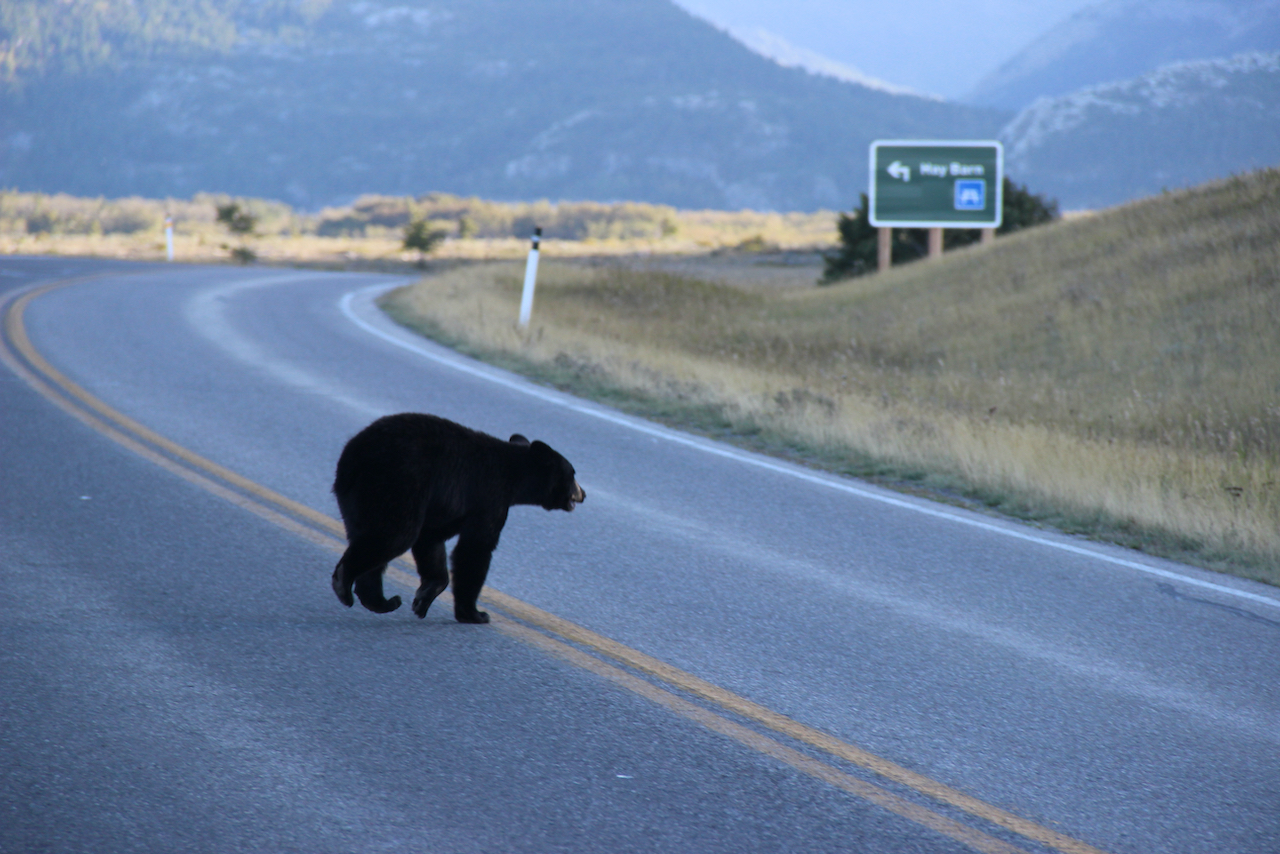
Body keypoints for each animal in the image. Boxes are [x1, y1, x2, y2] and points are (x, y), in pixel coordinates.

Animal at [330, 412, 585, 623]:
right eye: (572, 474)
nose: (583, 493)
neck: (514, 476)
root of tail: (354, 454)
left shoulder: (449, 506)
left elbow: (431, 540)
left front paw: (424, 598)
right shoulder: (489, 498)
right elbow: (474, 549)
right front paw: (475, 613)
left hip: (357, 497)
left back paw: (380, 601)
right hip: (398, 484)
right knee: (397, 534)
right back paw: (345, 582)